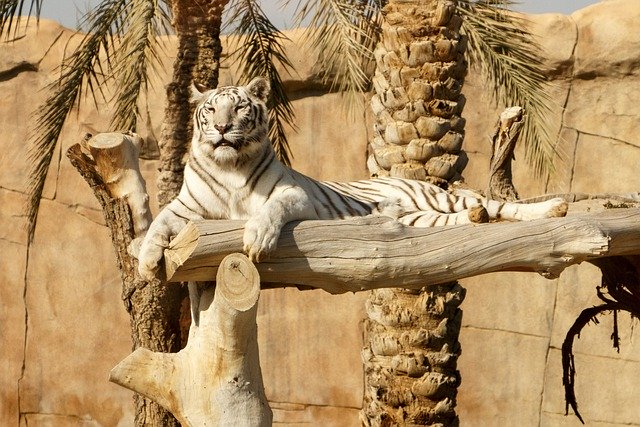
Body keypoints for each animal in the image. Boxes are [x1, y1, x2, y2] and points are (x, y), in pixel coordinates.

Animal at [136, 77, 568, 280]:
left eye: (240, 107)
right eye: (211, 110)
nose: (223, 127)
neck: (229, 166)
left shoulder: (294, 194)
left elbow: (269, 211)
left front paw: (257, 238)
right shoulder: (185, 207)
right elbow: (158, 224)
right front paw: (145, 263)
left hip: (442, 198)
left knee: (501, 205)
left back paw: (554, 207)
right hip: (421, 219)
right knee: (469, 216)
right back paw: (477, 219)